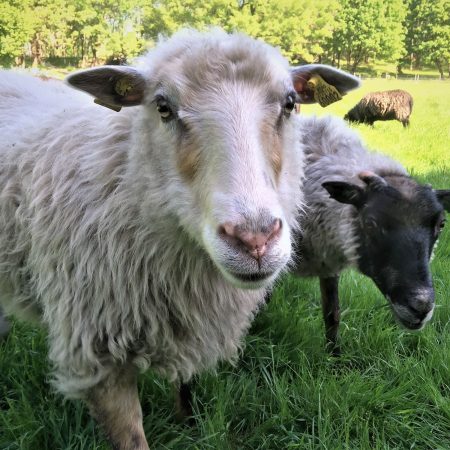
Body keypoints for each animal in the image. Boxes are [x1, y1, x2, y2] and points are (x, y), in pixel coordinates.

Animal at [0, 29, 360, 448]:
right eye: (163, 107)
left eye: (290, 103)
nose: (254, 240)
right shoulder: (97, 354)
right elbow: (131, 437)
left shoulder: (190, 321)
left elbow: (185, 386)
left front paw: (188, 423)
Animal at [290, 114, 448, 354]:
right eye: (371, 223)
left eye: (442, 225)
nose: (420, 306)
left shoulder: (327, 261)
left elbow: (332, 314)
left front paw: (334, 355)